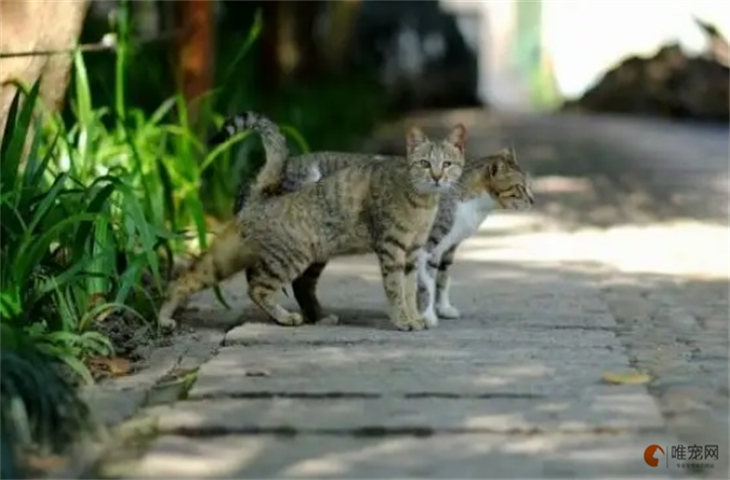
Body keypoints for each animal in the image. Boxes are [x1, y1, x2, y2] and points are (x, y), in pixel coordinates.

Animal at [159, 112, 466, 330]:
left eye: (447, 164)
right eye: (424, 163)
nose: (437, 176)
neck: (423, 202)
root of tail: (260, 195)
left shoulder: (412, 252)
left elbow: (411, 288)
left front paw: (415, 318)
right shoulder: (392, 249)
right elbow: (396, 289)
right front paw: (403, 321)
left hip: (225, 257)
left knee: (185, 279)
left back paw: (164, 318)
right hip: (291, 257)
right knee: (257, 287)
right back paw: (286, 317)